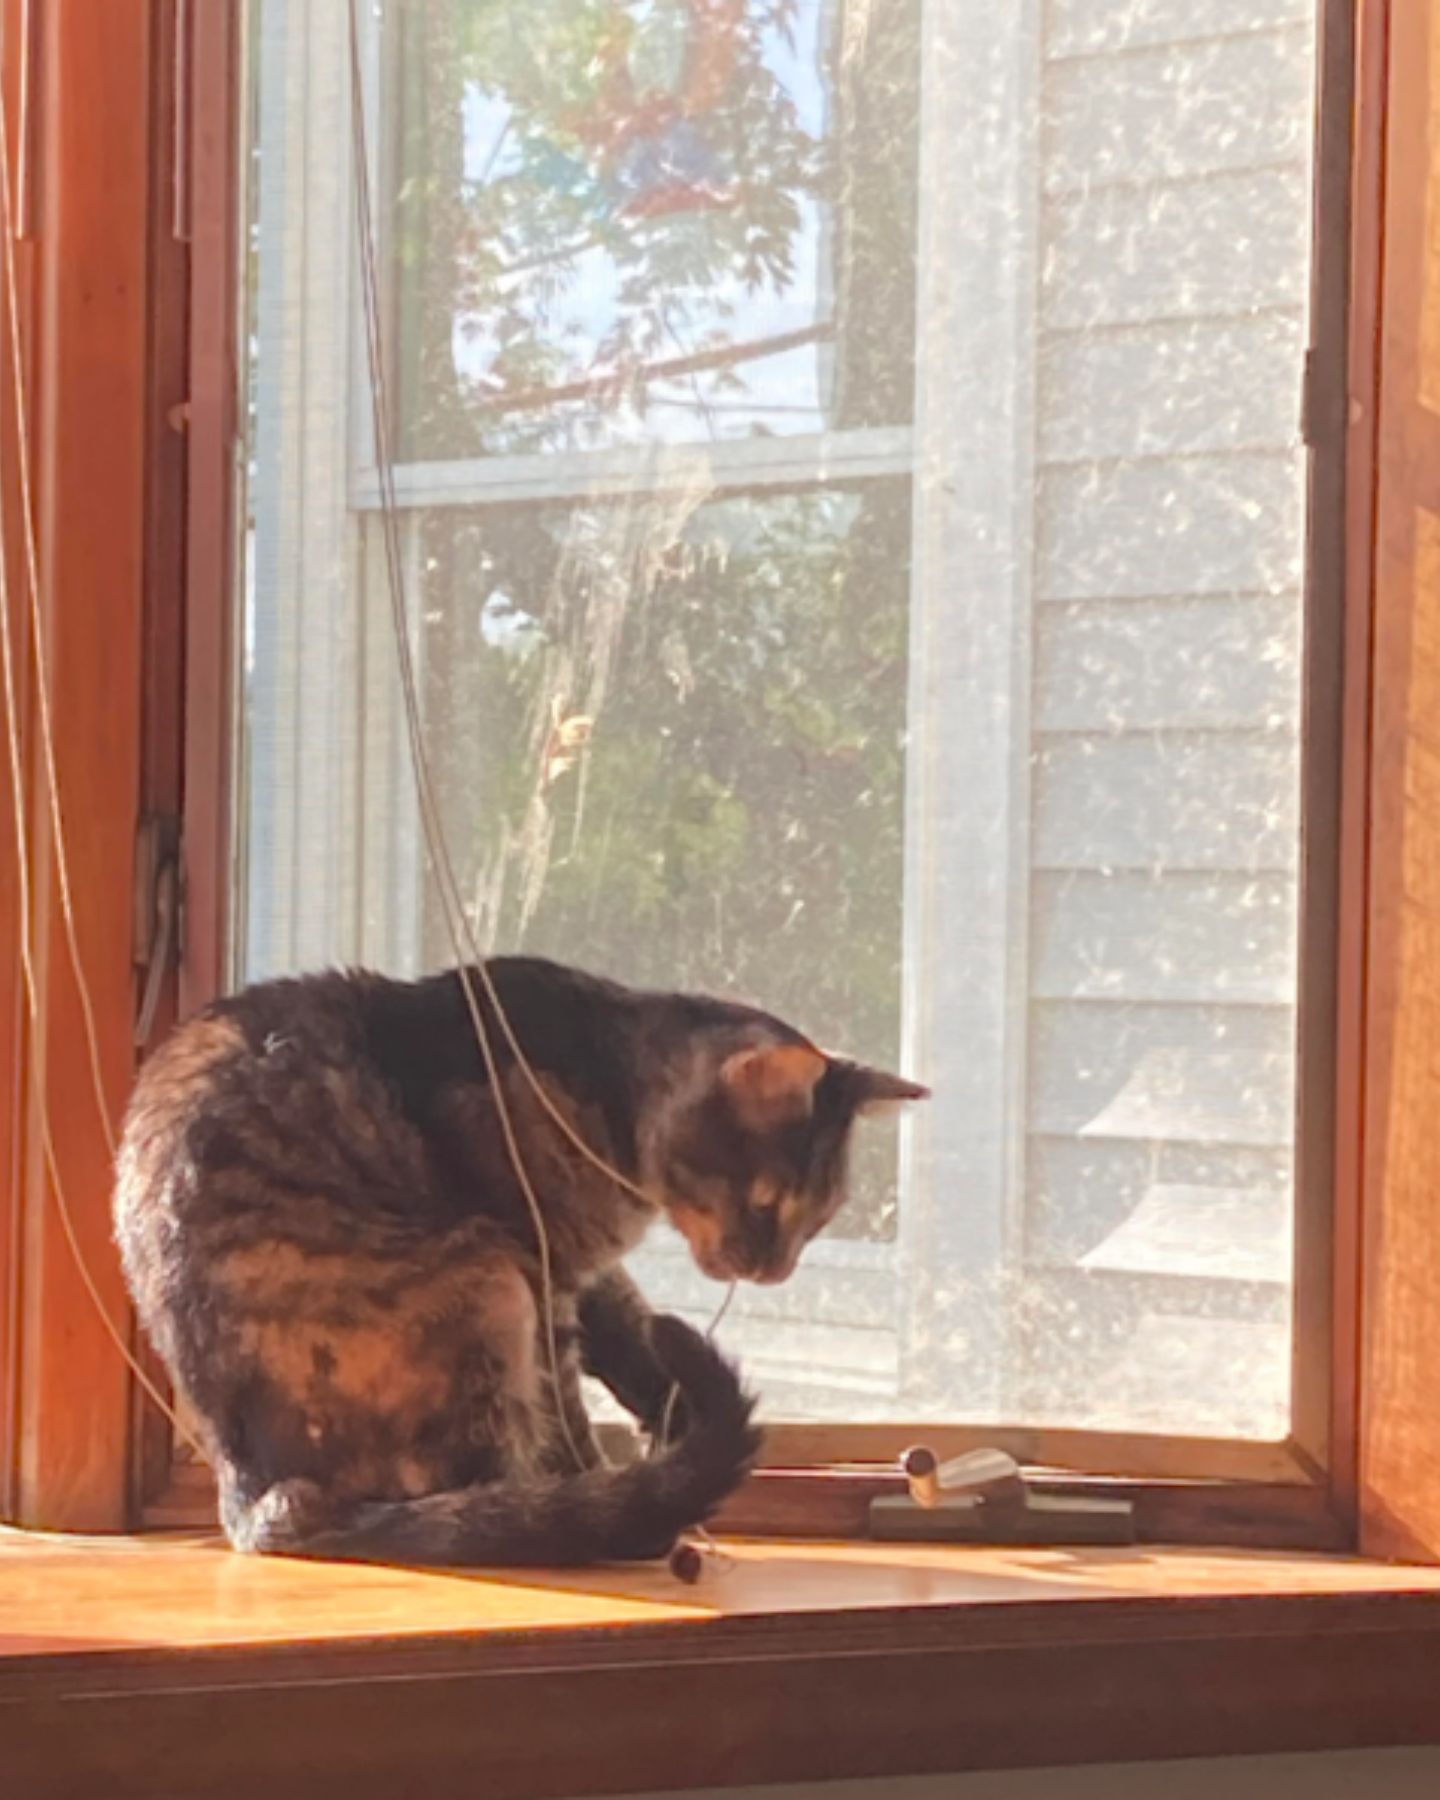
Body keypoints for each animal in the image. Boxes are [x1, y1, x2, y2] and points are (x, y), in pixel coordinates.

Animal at [109, 957, 921, 1562]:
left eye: (820, 1218)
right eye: (764, 1203)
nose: (775, 1272)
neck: (608, 1079)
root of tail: (251, 1499)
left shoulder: (587, 1273)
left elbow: (636, 1333)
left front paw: (669, 1407)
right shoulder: (542, 1265)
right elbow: (567, 1413)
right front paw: (613, 1484)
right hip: (486, 1283)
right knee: (481, 1484)